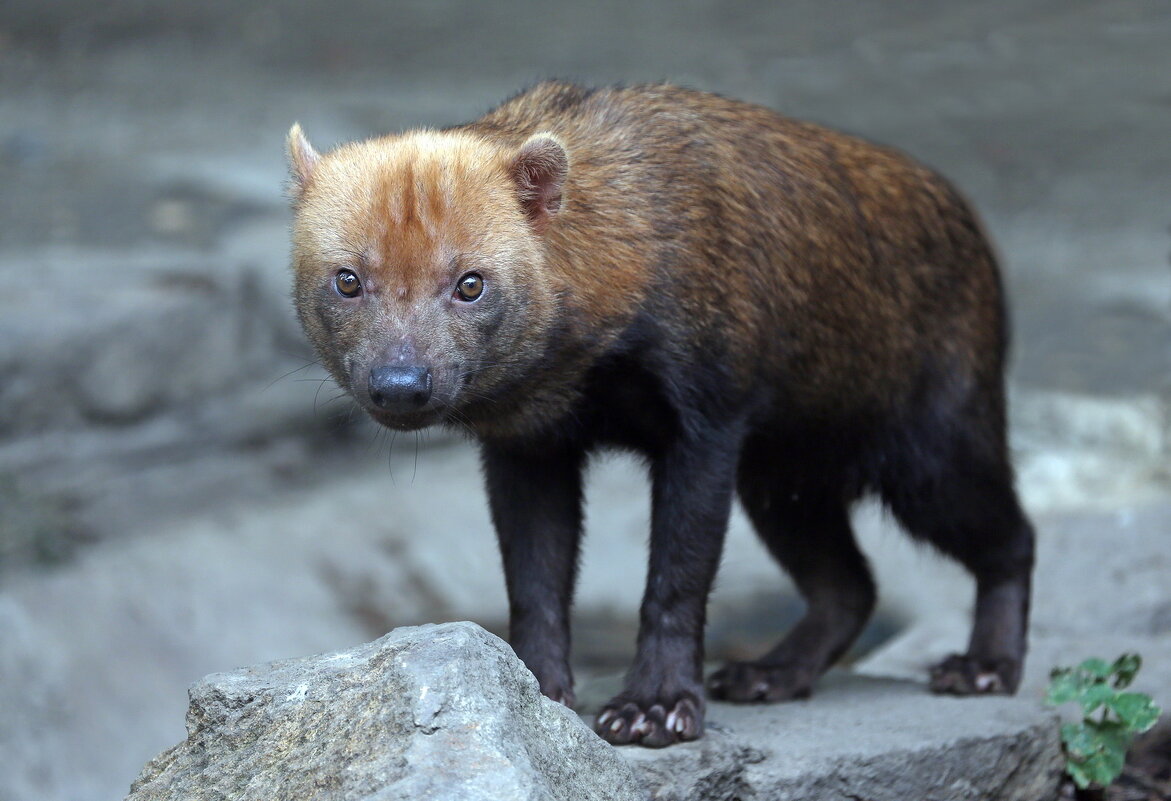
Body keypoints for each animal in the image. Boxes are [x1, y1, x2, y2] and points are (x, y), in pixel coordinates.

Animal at [283, 84, 1035, 749]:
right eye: (347, 278)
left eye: (470, 282)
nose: (400, 384)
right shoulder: (528, 446)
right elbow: (534, 579)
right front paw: (538, 687)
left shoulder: (705, 425)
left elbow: (677, 578)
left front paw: (655, 708)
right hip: (783, 481)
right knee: (849, 585)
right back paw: (769, 674)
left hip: (930, 460)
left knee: (1013, 537)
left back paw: (984, 668)